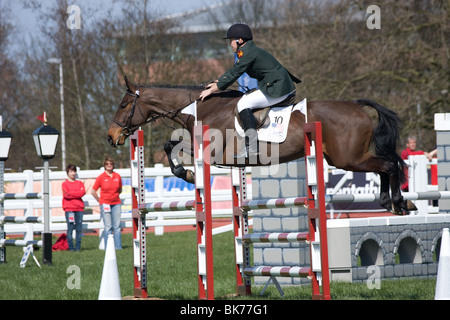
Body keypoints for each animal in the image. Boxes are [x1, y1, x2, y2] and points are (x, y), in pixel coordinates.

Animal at [107, 76, 416, 214]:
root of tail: (356, 105)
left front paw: (190, 174)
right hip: (347, 158)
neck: (203, 108)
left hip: (347, 158)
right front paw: (188, 173)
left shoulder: (211, 151)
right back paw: (390, 202)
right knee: (384, 167)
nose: (111, 137)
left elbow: (172, 149)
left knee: (389, 165)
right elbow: (170, 145)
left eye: (123, 105)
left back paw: (398, 202)